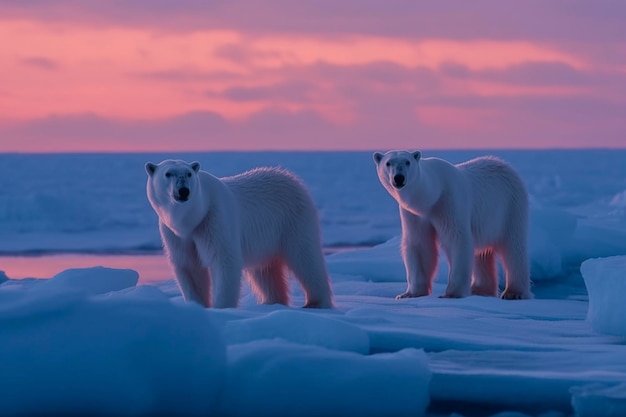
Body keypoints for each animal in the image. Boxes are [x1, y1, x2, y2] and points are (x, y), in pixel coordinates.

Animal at [144, 159, 334, 308]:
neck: (192, 219)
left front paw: (221, 308)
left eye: (189, 173)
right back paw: (270, 301)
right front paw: (197, 306)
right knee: (265, 270)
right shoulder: (175, 235)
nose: (183, 191)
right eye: (168, 173)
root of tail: (292, 178)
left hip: (293, 220)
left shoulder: (214, 219)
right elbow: (188, 266)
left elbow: (224, 260)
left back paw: (316, 302)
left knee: (305, 257)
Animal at [372, 150, 528, 300]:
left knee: (513, 246)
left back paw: (514, 293)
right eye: (388, 163)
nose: (399, 178)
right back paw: (480, 290)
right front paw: (409, 294)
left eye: (407, 162)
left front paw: (452, 294)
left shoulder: (448, 202)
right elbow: (419, 244)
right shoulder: (413, 214)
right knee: (481, 253)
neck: (432, 195)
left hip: (510, 207)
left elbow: (456, 239)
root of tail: (505, 165)